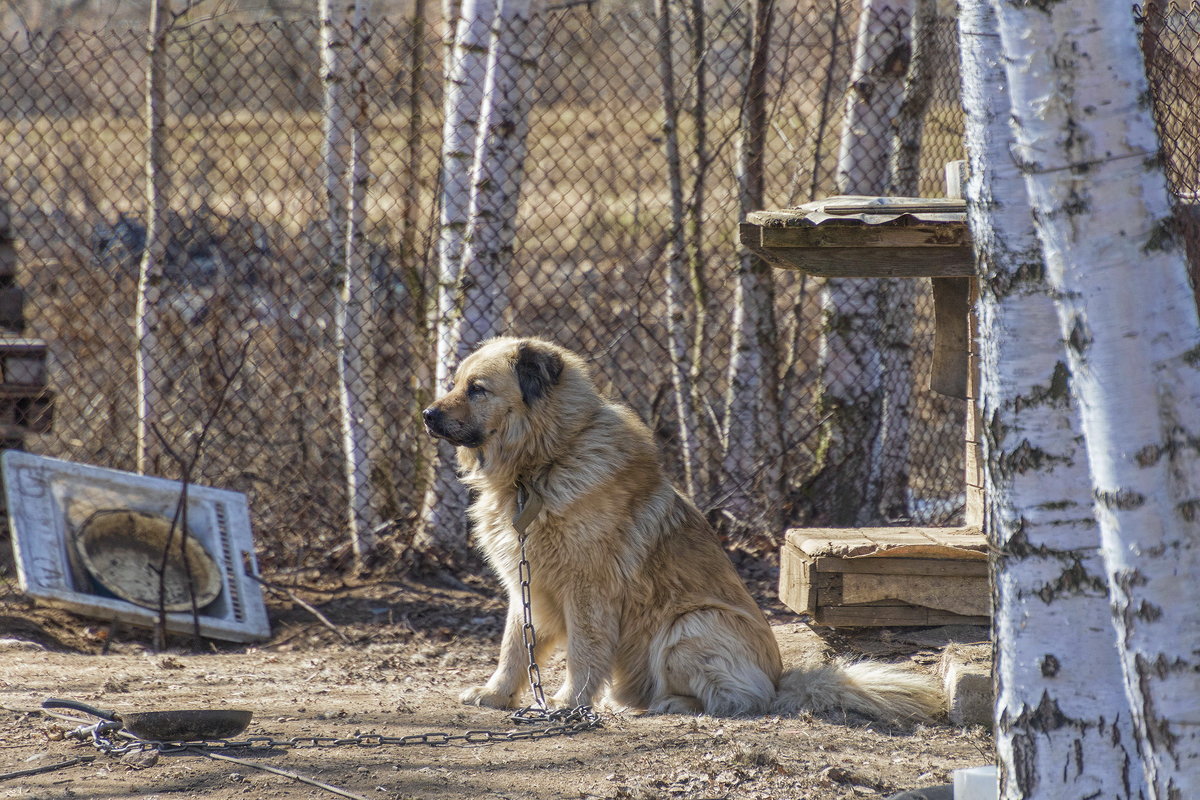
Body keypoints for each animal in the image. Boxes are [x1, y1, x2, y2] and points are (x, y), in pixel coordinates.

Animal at [427, 335, 940, 724]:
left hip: (689, 625)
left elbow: (583, 654)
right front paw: (495, 695)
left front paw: (568, 704)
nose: (429, 415)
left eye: (477, 389)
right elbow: (514, 647)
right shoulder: (526, 585)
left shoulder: (588, 589)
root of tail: (780, 680)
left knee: (736, 699)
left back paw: (665, 703)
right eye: (455, 384)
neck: (542, 464)